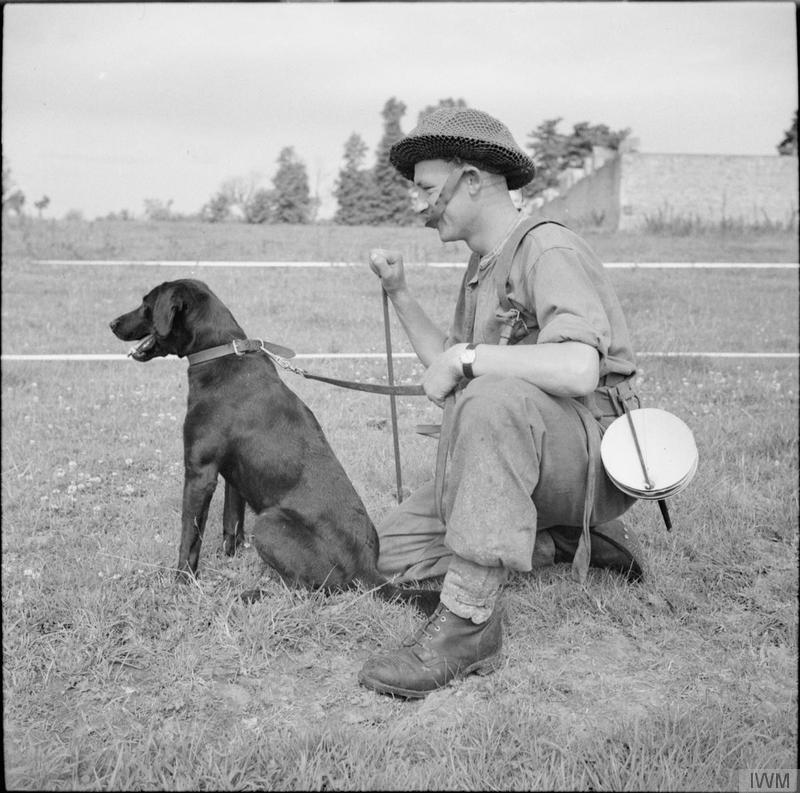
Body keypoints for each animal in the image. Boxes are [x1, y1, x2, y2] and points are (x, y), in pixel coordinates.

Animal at [108, 278, 438, 612]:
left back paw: (256, 594)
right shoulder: (231, 477)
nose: (112, 323)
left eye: (146, 303)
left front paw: (181, 583)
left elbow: (190, 536)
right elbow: (231, 524)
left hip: (269, 523)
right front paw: (229, 561)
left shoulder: (200, 472)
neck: (220, 352)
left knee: (312, 591)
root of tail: (368, 570)